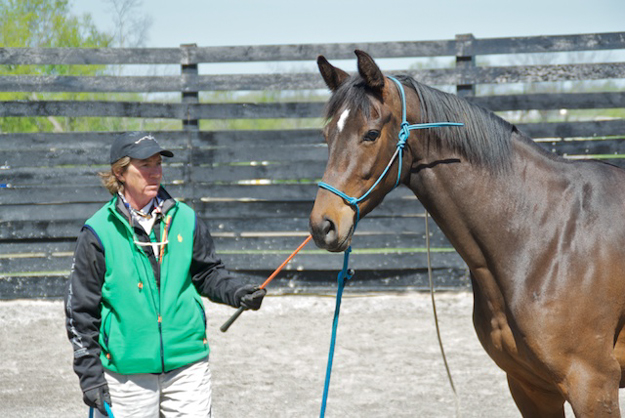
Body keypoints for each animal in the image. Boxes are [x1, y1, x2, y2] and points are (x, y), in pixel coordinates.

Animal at [310, 50, 625, 416]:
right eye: (327, 136)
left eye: (371, 134)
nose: (323, 225)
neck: (547, 235)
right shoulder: (530, 386)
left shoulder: (592, 384)